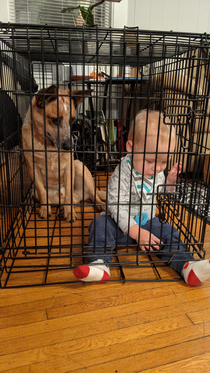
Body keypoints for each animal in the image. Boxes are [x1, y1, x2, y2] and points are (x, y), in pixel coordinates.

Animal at [22, 85, 106, 221]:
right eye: (55, 120)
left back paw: (98, 204)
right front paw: (45, 209)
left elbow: (68, 193)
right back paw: (60, 210)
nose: (70, 147)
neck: (48, 146)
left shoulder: (68, 167)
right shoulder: (33, 168)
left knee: (90, 195)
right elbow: (42, 191)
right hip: (35, 192)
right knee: (73, 199)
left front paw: (69, 212)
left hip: (79, 166)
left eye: (72, 120)